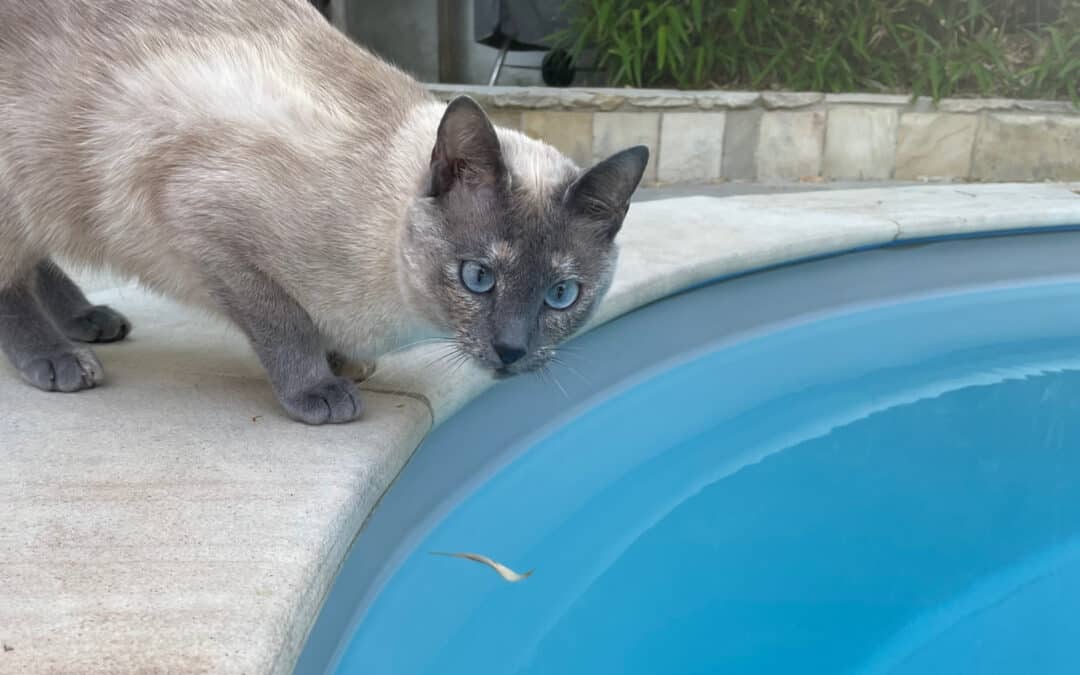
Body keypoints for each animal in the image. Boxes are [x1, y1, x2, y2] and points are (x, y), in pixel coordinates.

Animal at [0, 0, 643, 423]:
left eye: (562, 295)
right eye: (478, 278)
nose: (512, 351)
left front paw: (345, 363)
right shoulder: (211, 227)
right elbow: (284, 324)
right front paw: (320, 388)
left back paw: (87, 318)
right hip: (23, 182)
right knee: (13, 278)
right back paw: (59, 358)